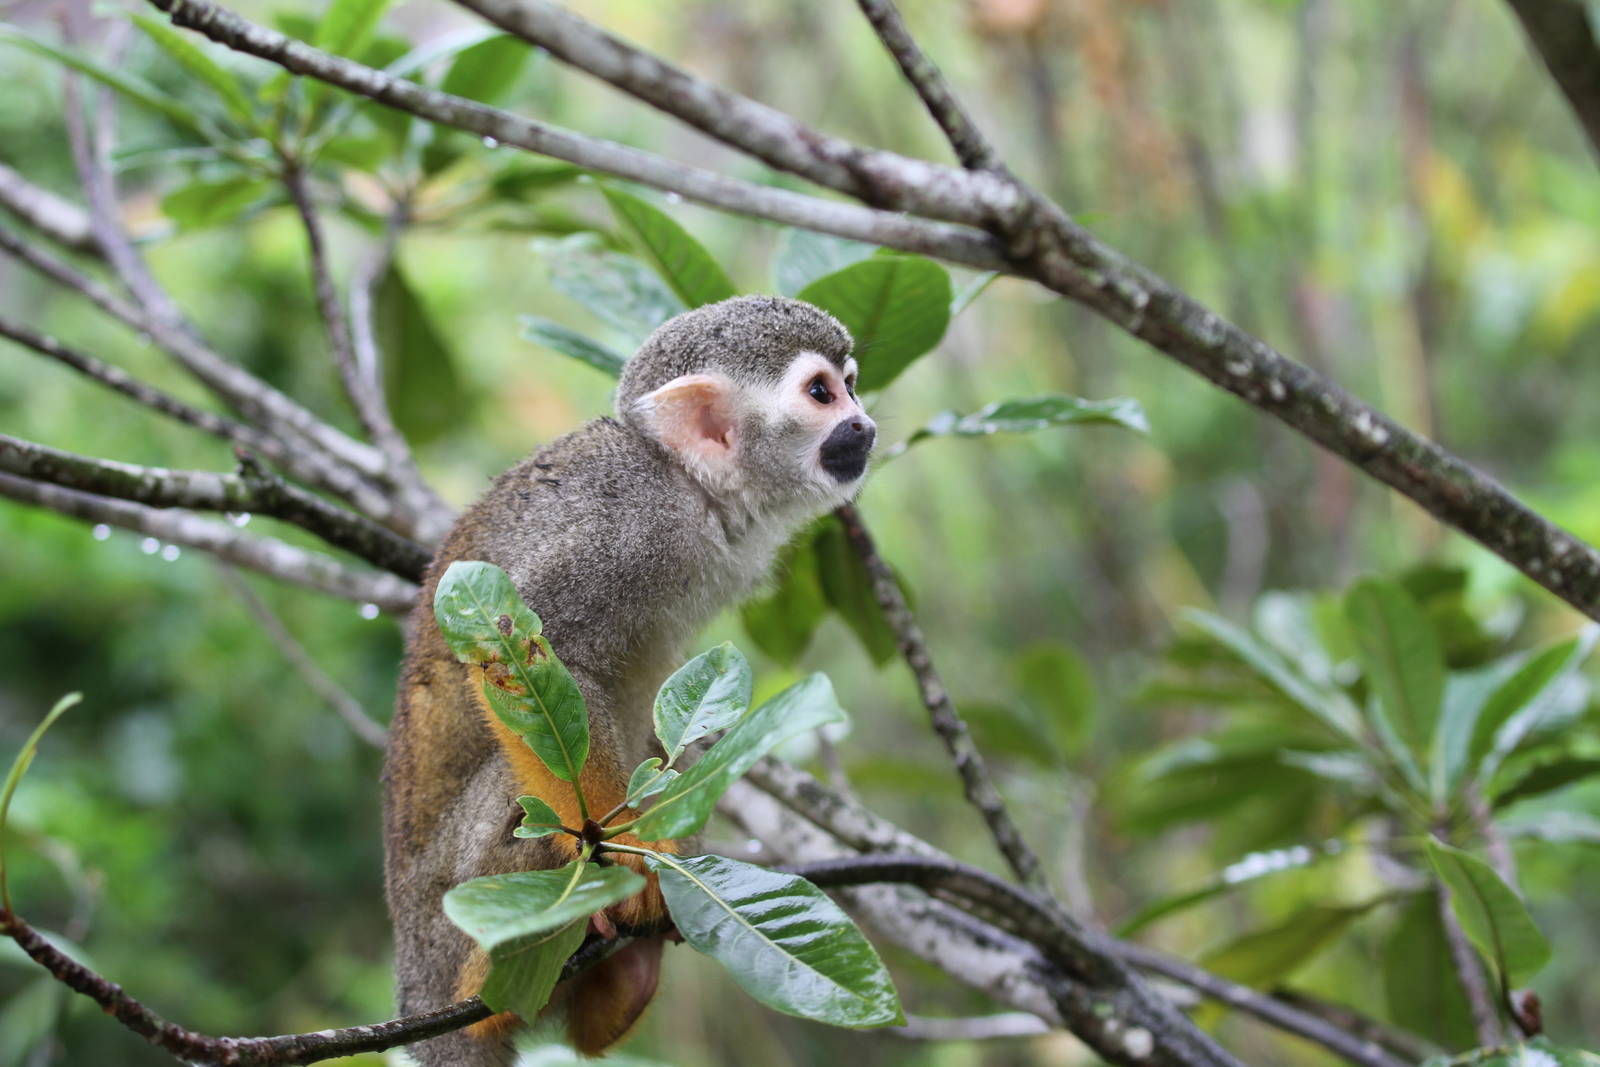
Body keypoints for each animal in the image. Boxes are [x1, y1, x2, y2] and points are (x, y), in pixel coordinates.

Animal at [383, 295, 876, 1064]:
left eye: (850, 385)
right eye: (822, 393)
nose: (865, 421)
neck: (686, 485)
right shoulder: (626, 525)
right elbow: (519, 645)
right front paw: (630, 856)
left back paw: (626, 978)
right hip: (448, 920)